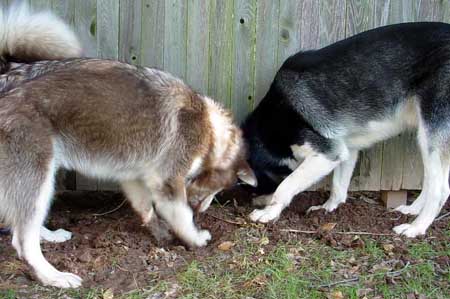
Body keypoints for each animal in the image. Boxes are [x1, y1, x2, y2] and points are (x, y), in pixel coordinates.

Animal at [244, 22, 450, 238]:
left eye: (255, 186)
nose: (252, 200)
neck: (272, 123)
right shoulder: (346, 150)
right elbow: (338, 187)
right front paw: (328, 209)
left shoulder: (327, 154)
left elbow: (286, 185)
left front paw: (268, 212)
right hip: (426, 138)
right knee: (430, 180)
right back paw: (412, 210)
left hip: (430, 134)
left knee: (441, 190)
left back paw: (416, 228)